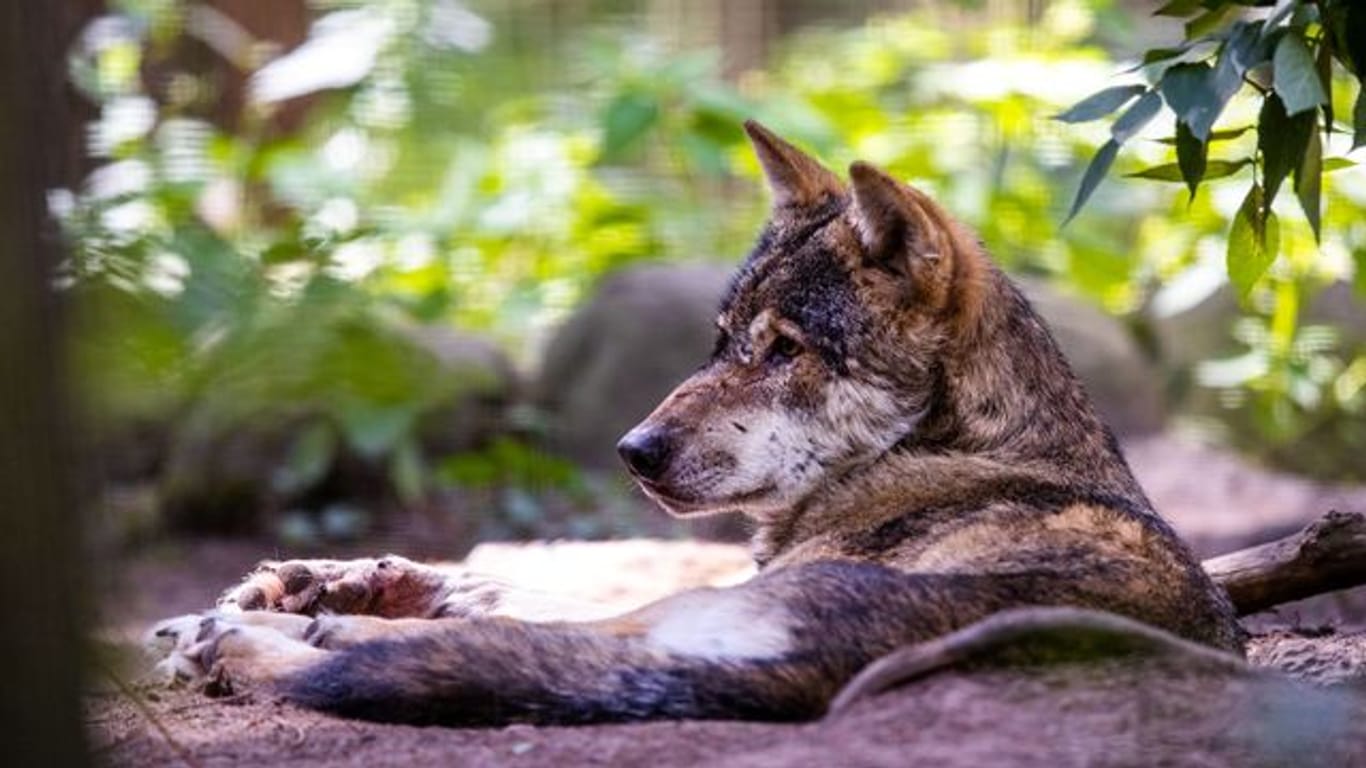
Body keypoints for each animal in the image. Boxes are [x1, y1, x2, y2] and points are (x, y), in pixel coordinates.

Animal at [149, 120, 1251, 721]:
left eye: (785, 350)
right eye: (721, 341)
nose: (632, 452)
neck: (953, 448)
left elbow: (535, 608)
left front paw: (306, 609)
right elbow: (531, 585)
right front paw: (351, 580)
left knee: (471, 649)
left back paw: (250, 634)